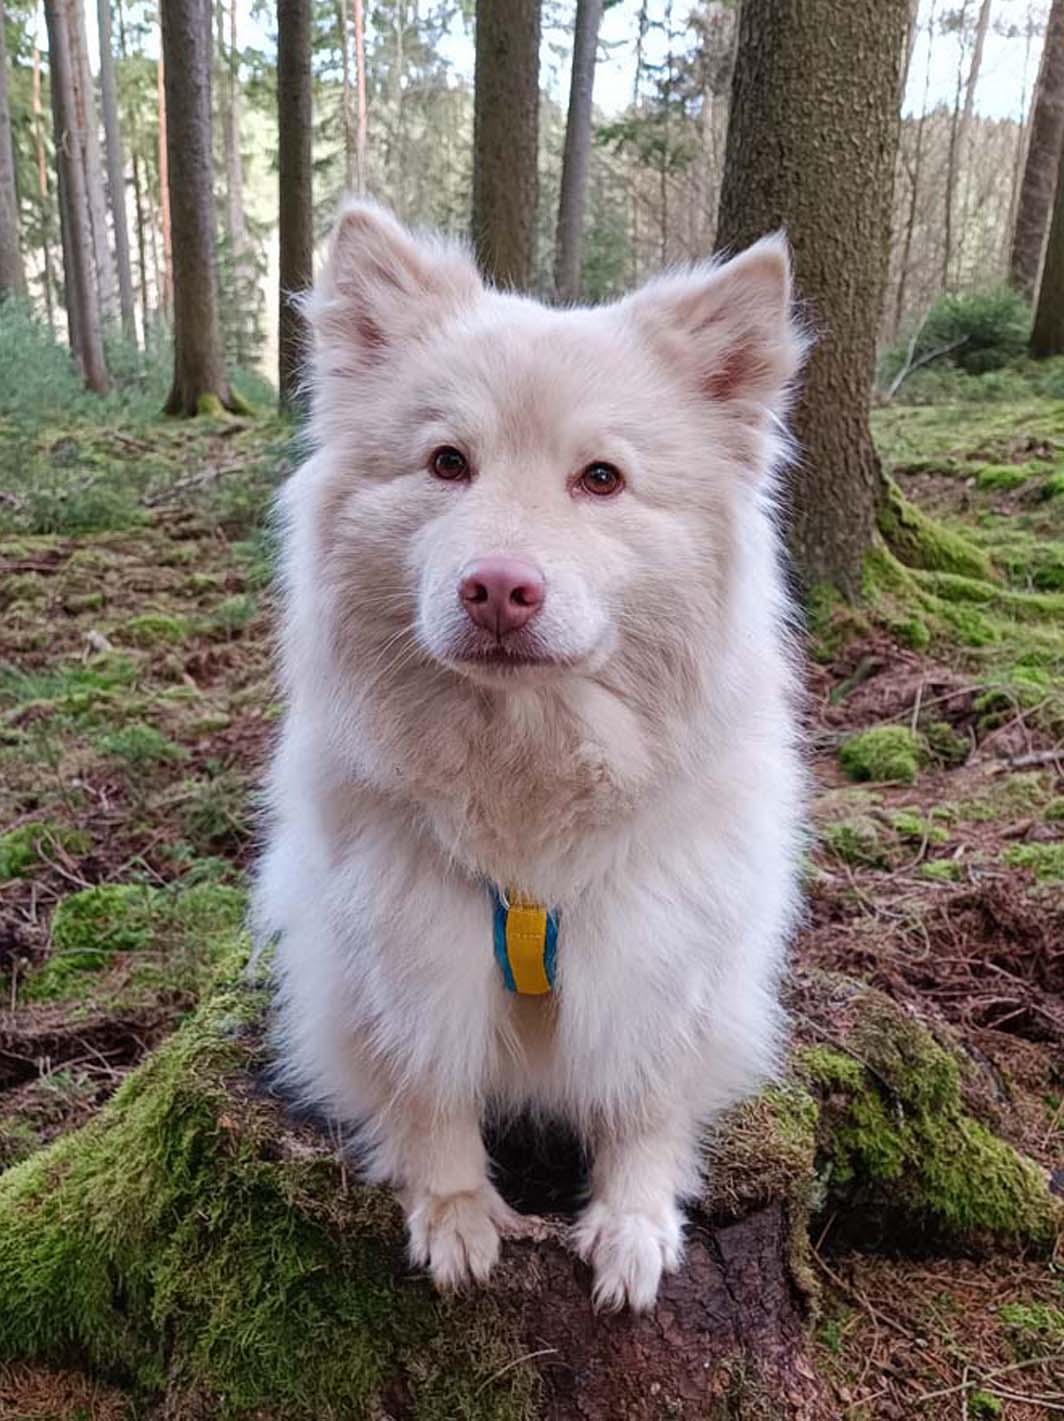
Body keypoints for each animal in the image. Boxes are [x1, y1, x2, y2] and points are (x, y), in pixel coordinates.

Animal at [253, 199, 807, 1311]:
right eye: (446, 463)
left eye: (600, 478)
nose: (499, 589)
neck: (525, 749)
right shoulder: (406, 947)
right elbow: (430, 1093)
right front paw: (456, 1214)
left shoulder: (660, 949)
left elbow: (643, 1100)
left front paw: (633, 1225)